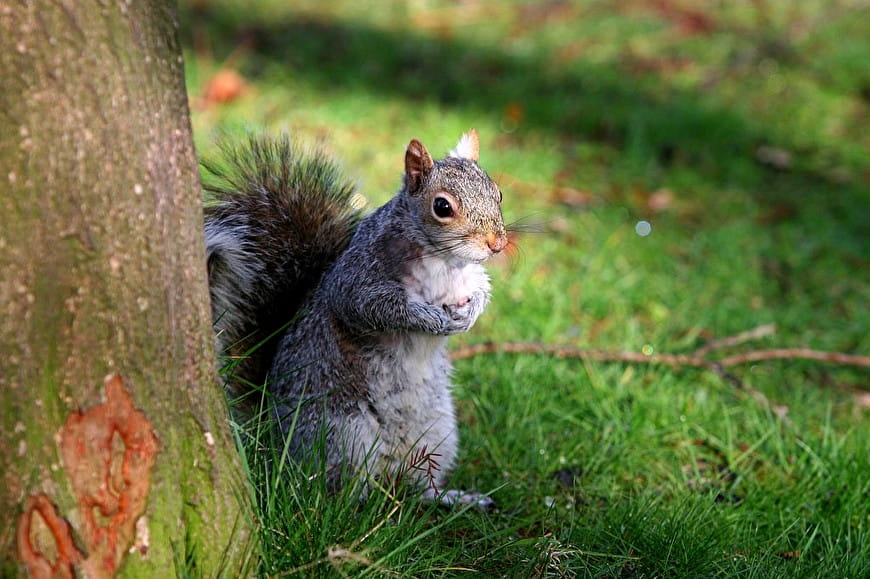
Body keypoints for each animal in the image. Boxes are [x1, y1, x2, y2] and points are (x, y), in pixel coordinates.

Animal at [203, 130, 506, 506]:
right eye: (442, 207)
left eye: (498, 193)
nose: (497, 244)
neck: (444, 262)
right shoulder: (357, 280)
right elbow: (378, 307)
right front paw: (430, 319)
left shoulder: (470, 277)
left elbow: (482, 290)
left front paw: (470, 315)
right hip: (342, 434)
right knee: (342, 489)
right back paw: (362, 502)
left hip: (439, 433)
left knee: (418, 487)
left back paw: (453, 498)